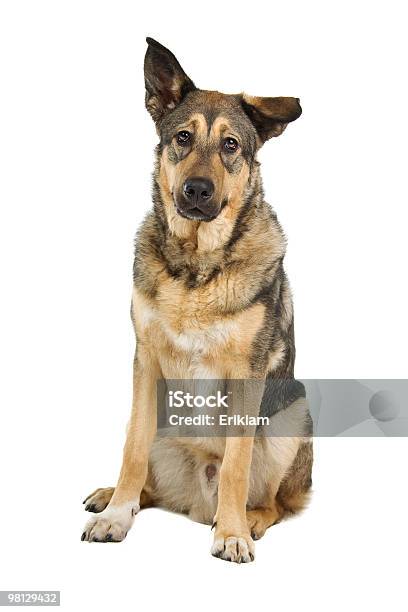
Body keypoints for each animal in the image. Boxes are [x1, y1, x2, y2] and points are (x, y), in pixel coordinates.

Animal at [82, 37, 312, 564]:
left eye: (230, 146)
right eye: (183, 138)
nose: (197, 190)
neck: (196, 265)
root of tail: (194, 499)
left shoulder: (246, 375)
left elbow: (235, 466)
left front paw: (231, 533)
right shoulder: (145, 363)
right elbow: (131, 451)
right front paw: (116, 516)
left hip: (293, 416)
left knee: (273, 500)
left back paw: (249, 519)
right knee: (146, 472)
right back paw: (113, 496)